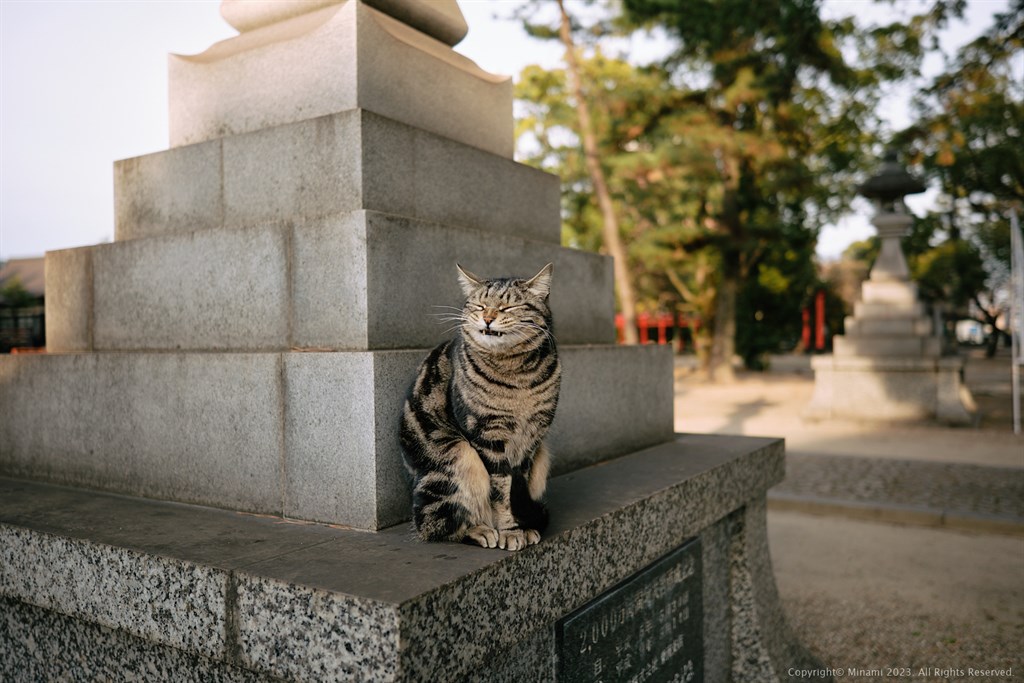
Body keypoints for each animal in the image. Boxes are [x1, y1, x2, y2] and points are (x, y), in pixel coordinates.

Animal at [399, 264, 561, 552]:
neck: (517, 375)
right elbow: (500, 491)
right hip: (458, 456)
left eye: (508, 307)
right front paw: (509, 531)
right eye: (480, 305)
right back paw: (480, 530)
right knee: (432, 525)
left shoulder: (532, 442)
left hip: (542, 456)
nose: (487, 317)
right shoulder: (488, 436)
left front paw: (522, 526)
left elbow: (517, 489)